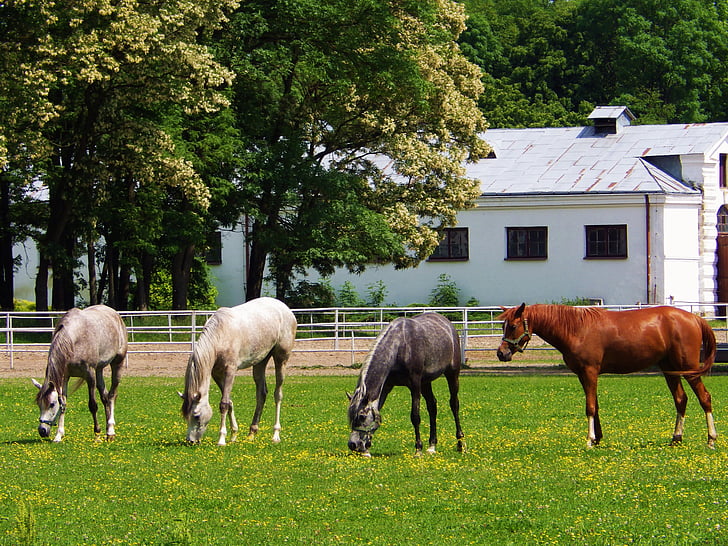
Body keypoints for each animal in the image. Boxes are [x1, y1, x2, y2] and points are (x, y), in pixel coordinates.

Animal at [32, 304, 128, 440]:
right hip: (99, 369)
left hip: (117, 363)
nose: (42, 431)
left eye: (51, 404)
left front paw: (97, 434)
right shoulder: (65, 376)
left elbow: (93, 405)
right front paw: (58, 435)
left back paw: (110, 431)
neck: (73, 340)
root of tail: (115, 314)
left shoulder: (90, 375)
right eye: (39, 404)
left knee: (112, 395)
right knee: (104, 396)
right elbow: (64, 403)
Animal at [181, 296, 298, 444]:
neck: (221, 334)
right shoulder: (216, 373)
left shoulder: (230, 371)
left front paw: (222, 438)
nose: (190, 441)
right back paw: (252, 433)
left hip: (281, 359)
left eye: (196, 415)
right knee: (261, 394)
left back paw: (275, 434)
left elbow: (224, 404)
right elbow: (229, 401)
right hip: (260, 362)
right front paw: (233, 435)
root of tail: (286, 309)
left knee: (278, 394)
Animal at [348, 310, 466, 454]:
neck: (399, 347)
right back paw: (432, 446)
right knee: (432, 406)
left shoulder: (415, 386)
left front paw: (418, 450)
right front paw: (367, 450)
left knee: (454, 404)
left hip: (452, 375)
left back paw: (460, 444)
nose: (353, 445)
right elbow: (378, 410)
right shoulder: (386, 387)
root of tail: (448, 324)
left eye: (362, 417)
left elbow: (415, 417)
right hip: (426, 382)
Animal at [494, 302, 716, 446]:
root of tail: (695, 318)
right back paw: (676, 438)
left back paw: (711, 439)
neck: (576, 328)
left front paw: (589, 440)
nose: (501, 353)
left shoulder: (590, 372)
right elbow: (596, 405)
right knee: (681, 399)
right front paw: (598, 438)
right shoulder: (582, 375)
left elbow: (590, 407)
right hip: (670, 369)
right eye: (503, 326)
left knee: (704, 397)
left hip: (689, 369)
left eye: (513, 326)